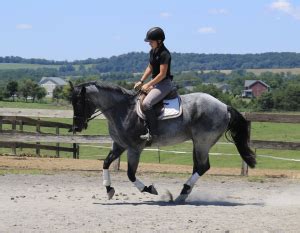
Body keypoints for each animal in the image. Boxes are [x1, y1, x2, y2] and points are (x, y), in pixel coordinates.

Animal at [69, 81, 255, 201]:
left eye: (80, 103)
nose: (77, 127)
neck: (123, 110)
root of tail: (224, 106)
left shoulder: (134, 148)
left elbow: (130, 174)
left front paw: (149, 189)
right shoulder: (119, 145)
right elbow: (106, 163)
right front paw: (109, 189)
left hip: (203, 142)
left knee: (203, 167)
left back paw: (181, 193)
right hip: (198, 143)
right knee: (198, 167)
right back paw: (184, 193)